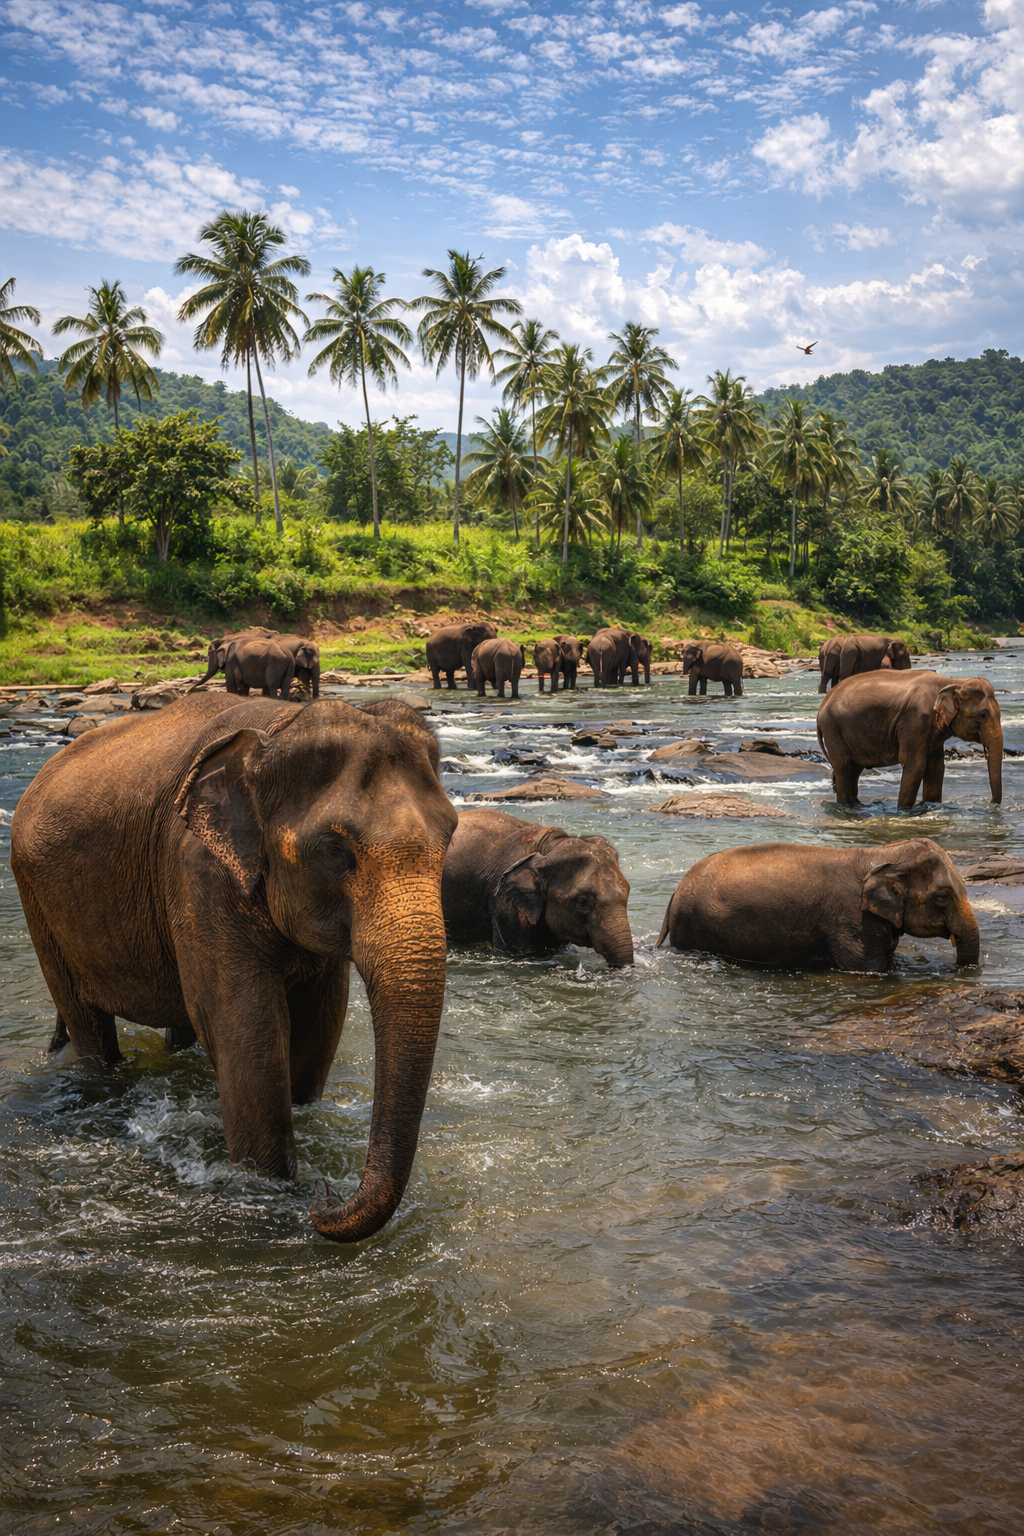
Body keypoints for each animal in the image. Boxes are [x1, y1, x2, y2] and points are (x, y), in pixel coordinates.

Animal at [10, 693, 458, 1243]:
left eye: (452, 836)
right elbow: (247, 1034)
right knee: (87, 1022)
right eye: (335, 850)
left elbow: (318, 1029)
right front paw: (269, 1191)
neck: (277, 727)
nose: (326, 1195)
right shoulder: (197, 872)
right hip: (37, 902)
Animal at [657, 838, 979, 973]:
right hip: (694, 925)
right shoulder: (851, 922)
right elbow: (871, 968)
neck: (880, 854)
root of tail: (675, 892)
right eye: (942, 897)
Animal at [816, 669, 1003, 808]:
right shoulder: (916, 721)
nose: (989, 802)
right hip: (832, 728)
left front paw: (931, 805)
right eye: (983, 715)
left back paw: (856, 805)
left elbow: (936, 767)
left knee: (855, 769)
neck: (953, 682)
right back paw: (845, 805)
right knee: (843, 767)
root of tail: (822, 706)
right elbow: (916, 765)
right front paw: (904, 810)